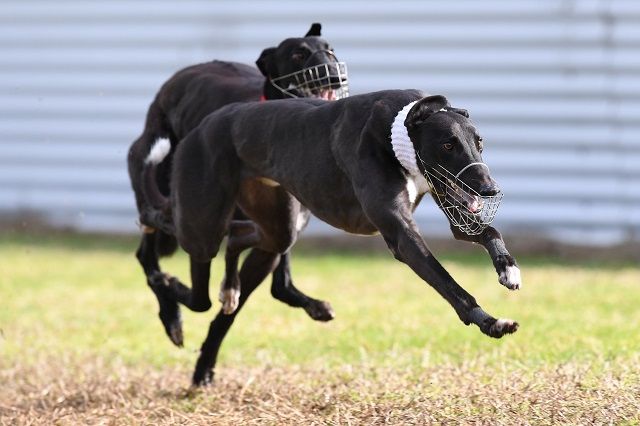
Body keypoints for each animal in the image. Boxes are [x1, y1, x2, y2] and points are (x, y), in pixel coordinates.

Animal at [127, 23, 345, 348]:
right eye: (298, 54)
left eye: (330, 51)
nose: (334, 76)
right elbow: (205, 295)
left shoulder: (272, 238)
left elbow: (258, 288)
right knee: (147, 252)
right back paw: (171, 316)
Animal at [145, 89, 523, 385]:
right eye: (447, 144)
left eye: (479, 143)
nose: (490, 189)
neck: (396, 133)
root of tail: (199, 128)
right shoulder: (401, 236)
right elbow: (450, 286)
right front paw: (491, 322)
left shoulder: (450, 202)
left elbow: (482, 230)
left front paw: (508, 269)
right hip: (202, 222)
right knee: (168, 240)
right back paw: (167, 293)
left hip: (276, 223)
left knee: (239, 241)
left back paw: (228, 292)